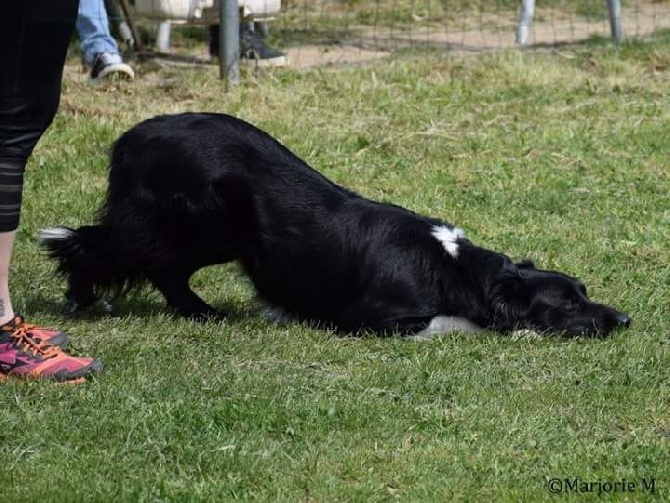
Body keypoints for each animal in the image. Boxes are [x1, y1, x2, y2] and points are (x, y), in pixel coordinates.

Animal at [39, 113, 632, 338]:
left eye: (585, 291)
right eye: (569, 303)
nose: (625, 319)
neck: (455, 268)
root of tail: (133, 136)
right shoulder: (370, 318)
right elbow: (446, 324)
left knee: (162, 270)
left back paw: (202, 314)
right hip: (196, 224)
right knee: (99, 249)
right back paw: (84, 299)